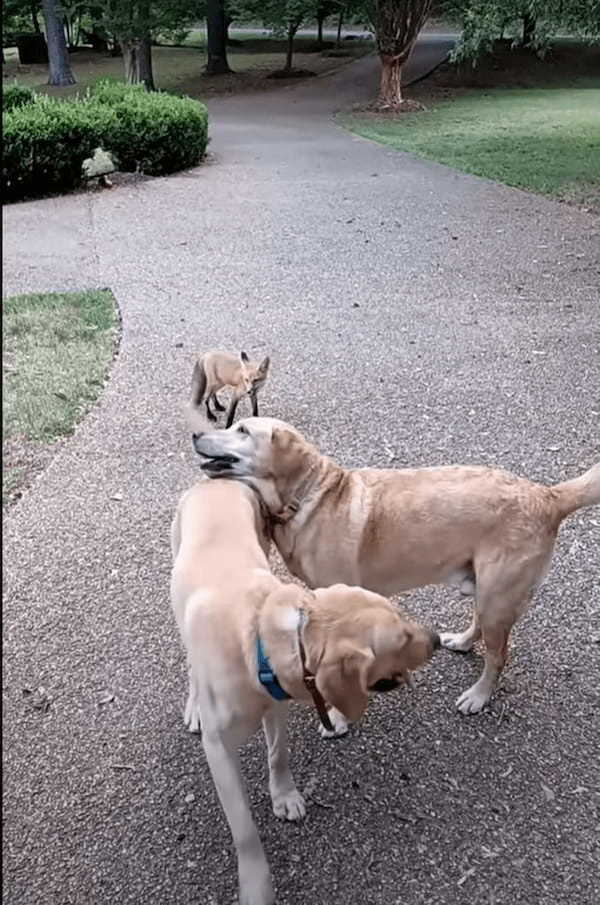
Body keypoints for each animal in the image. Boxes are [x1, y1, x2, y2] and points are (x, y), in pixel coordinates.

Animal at [171, 476, 438, 900]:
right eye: (400, 639)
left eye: (401, 615)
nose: (437, 640)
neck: (258, 634)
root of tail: (216, 481)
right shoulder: (218, 751)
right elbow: (244, 828)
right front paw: (257, 885)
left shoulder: (276, 704)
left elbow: (278, 754)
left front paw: (283, 795)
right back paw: (195, 702)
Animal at [193, 414, 600, 720]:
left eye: (242, 431)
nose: (196, 433)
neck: (306, 495)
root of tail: (547, 495)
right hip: (487, 591)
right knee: (480, 628)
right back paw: (462, 642)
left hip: (499, 597)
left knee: (499, 655)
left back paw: (479, 696)